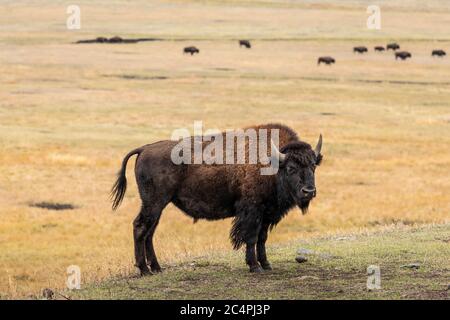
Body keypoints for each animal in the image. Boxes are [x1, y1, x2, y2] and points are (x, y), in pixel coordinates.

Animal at [112, 124, 324, 274]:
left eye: (313, 166)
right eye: (291, 168)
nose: (309, 191)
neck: (272, 163)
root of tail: (145, 148)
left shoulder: (267, 214)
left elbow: (262, 238)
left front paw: (266, 264)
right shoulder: (252, 211)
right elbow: (251, 237)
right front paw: (254, 266)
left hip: (158, 205)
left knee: (150, 232)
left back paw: (156, 268)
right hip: (154, 202)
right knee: (140, 227)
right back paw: (144, 270)